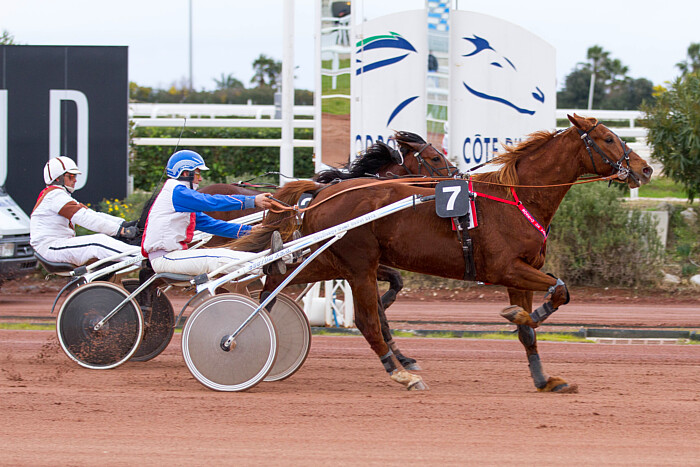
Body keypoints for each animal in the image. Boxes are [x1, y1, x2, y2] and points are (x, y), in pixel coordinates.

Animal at [230, 115, 656, 394]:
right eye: (608, 138)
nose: (646, 169)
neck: (518, 198)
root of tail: (324, 191)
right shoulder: (507, 268)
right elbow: (560, 290)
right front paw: (521, 315)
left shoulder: (522, 273)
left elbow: (532, 329)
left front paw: (543, 376)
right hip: (358, 264)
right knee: (366, 320)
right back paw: (401, 374)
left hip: (328, 259)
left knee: (272, 281)